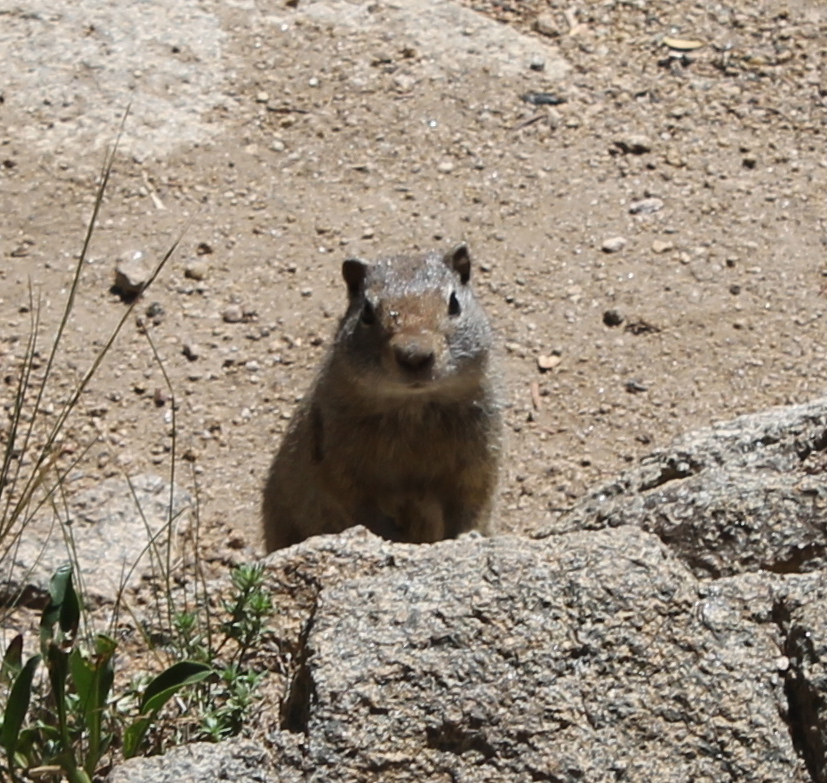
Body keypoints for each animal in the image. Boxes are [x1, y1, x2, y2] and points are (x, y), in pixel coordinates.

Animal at [262, 243, 502, 552]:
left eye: (454, 303)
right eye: (366, 311)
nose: (414, 355)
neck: (414, 406)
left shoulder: (479, 459)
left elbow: (473, 505)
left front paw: (467, 537)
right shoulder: (339, 464)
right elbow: (362, 509)